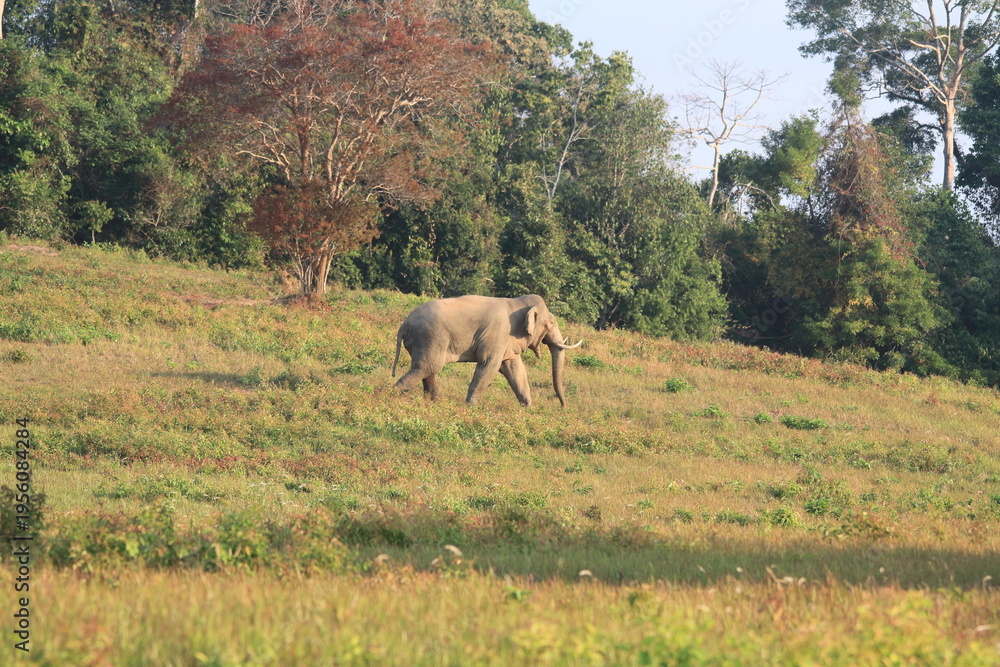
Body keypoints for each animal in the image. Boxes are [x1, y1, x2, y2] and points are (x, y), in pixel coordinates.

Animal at [391, 294, 582, 407]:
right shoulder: (498, 332)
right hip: (430, 337)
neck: (516, 302)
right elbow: (490, 364)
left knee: (427, 368)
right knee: (428, 367)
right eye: (551, 323)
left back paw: (435, 400)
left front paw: (527, 408)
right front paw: (470, 406)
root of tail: (405, 324)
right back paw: (393, 394)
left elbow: (514, 367)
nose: (563, 407)